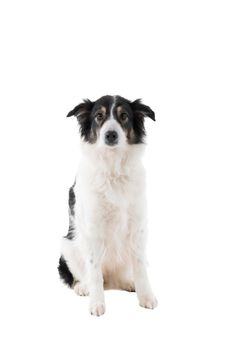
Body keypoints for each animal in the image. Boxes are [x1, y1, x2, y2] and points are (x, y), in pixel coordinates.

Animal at [57, 94, 157, 316]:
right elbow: (94, 271)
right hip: (68, 245)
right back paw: (83, 287)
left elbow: (141, 267)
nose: (110, 135)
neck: (114, 169)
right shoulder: (93, 229)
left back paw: (128, 283)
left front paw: (146, 296)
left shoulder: (137, 227)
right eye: (99, 116)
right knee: (84, 275)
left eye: (124, 116)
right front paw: (96, 303)